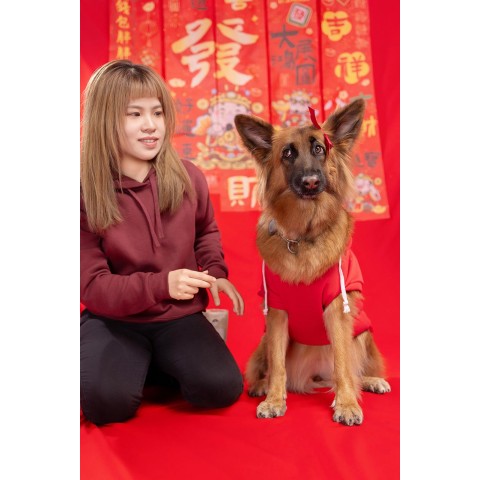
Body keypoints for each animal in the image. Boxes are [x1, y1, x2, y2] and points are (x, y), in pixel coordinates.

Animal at [234, 99, 391, 426]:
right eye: (287, 153)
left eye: (319, 149)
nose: (310, 182)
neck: (302, 237)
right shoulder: (276, 313)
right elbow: (278, 365)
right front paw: (274, 399)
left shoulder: (338, 308)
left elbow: (343, 364)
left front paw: (346, 404)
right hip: (263, 340)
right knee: (267, 367)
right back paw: (260, 386)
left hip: (363, 330)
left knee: (354, 370)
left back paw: (371, 381)